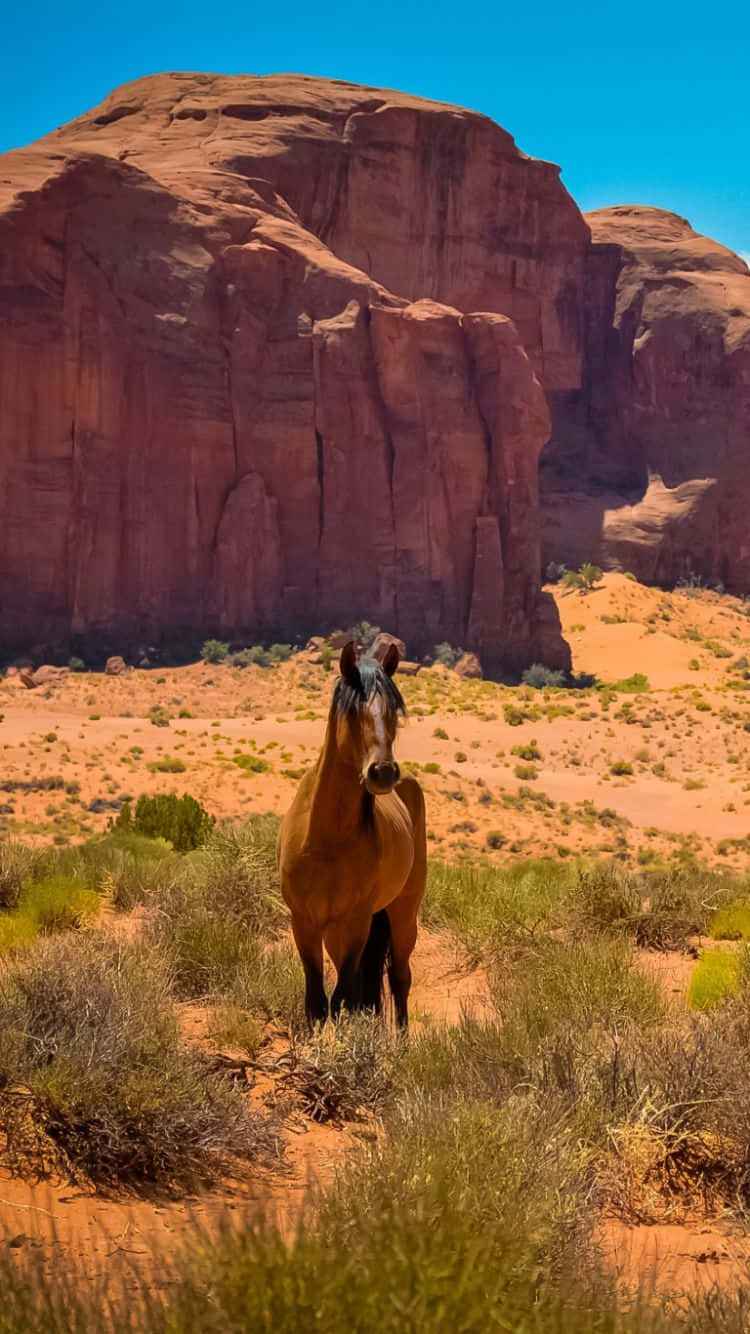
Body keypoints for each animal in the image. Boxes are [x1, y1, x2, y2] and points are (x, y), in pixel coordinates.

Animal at [278, 641, 426, 1028]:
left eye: (394, 711)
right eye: (354, 711)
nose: (383, 772)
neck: (327, 839)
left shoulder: (356, 922)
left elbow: (342, 998)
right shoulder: (305, 923)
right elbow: (317, 1002)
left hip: (403, 912)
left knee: (399, 977)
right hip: (337, 931)